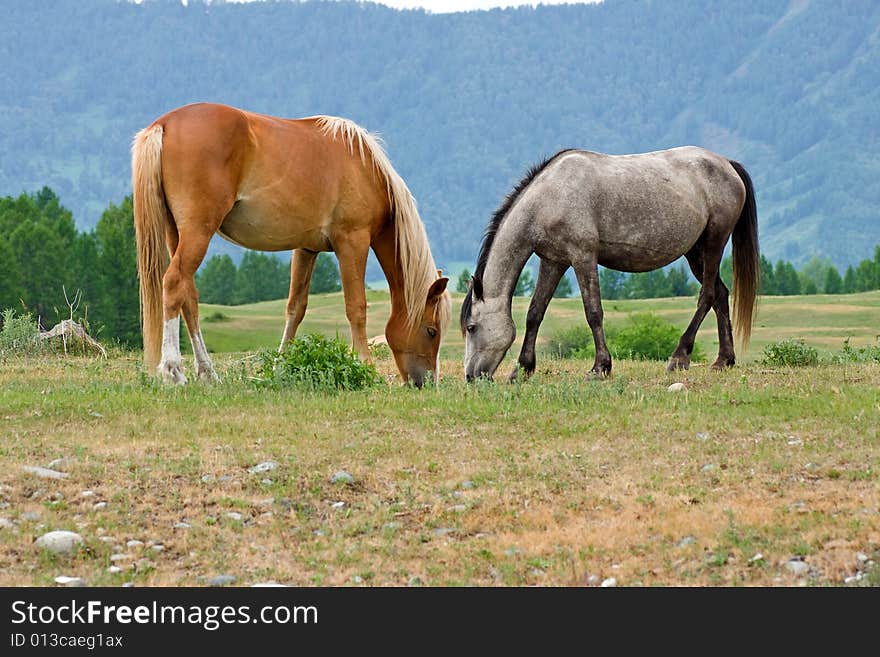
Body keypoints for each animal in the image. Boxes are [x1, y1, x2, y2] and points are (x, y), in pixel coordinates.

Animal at [131, 104, 450, 384]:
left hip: (176, 234)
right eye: (431, 331)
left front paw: (280, 367)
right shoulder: (352, 242)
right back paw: (173, 370)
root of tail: (165, 124)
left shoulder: (306, 249)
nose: (425, 383)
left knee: (188, 295)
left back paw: (208, 372)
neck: (365, 169)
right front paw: (365, 366)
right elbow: (356, 307)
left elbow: (295, 309)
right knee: (174, 283)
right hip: (198, 231)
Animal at [464, 145, 760, 376]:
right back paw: (724, 360)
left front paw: (600, 367)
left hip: (713, 244)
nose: (471, 376)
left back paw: (679, 357)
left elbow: (593, 312)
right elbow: (535, 313)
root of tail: (727, 164)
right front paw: (523, 369)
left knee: (707, 295)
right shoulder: (553, 261)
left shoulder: (583, 257)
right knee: (720, 294)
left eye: (471, 327)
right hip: (695, 253)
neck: (551, 197)